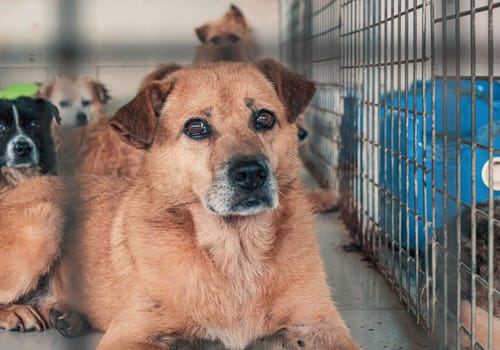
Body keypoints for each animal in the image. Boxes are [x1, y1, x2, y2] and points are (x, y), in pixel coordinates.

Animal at [0, 58, 360, 348]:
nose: (251, 174)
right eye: (196, 127)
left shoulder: (321, 325)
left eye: (265, 118)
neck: (236, 250)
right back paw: (18, 312)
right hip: (46, 221)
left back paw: (65, 315)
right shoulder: (129, 335)